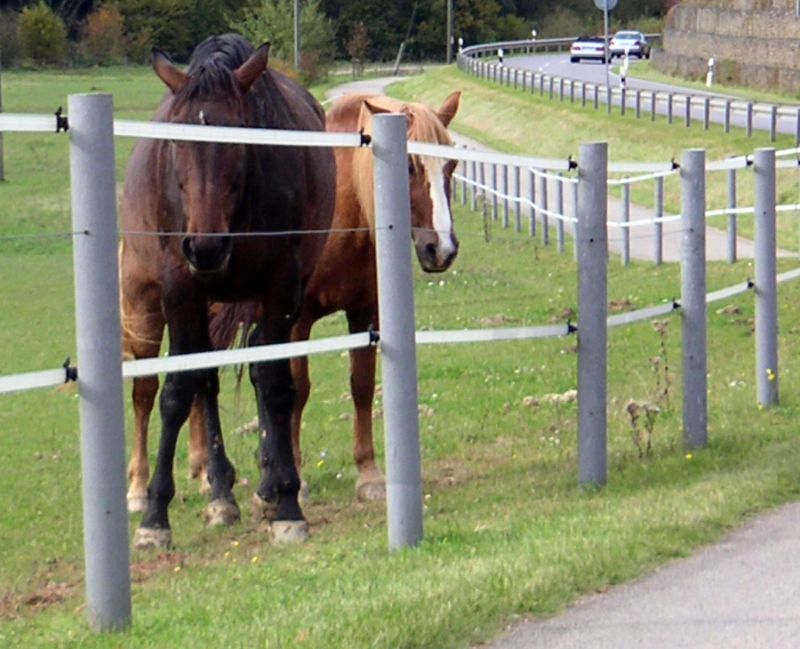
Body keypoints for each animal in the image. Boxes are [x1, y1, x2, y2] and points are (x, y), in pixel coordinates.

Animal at [121, 31, 334, 548]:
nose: (205, 247)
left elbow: (275, 383)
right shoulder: (181, 291)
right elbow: (179, 390)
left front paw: (287, 503)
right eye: (175, 141)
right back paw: (217, 492)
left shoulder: (280, 289)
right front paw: (155, 517)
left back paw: (264, 486)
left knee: (254, 367)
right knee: (197, 379)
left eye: (237, 138)